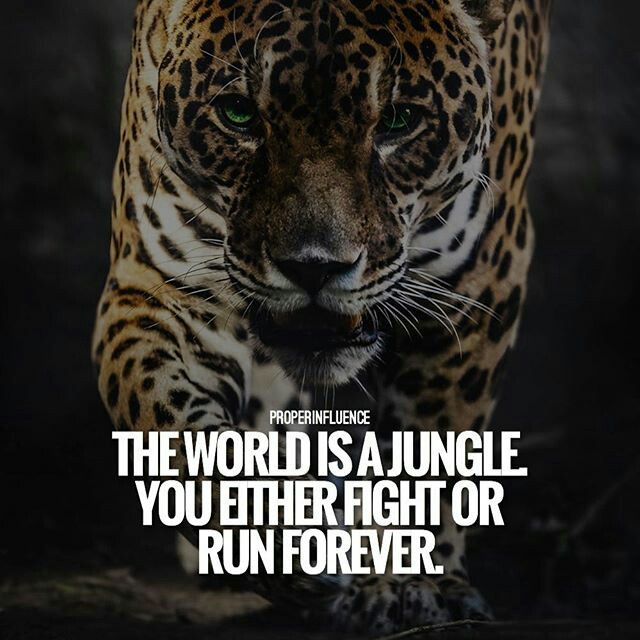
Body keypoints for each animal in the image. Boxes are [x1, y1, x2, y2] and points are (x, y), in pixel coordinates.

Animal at [92, 0, 552, 634]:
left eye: (400, 121)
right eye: (238, 115)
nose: (314, 267)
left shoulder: (476, 282)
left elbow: (430, 451)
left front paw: (408, 584)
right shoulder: (159, 285)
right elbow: (174, 430)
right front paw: (275, 543)